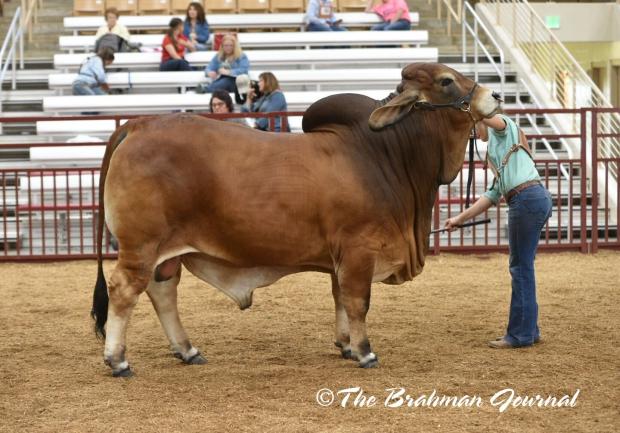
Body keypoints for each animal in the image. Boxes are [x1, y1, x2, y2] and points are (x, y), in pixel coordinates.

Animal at [92, 61, 502, 374]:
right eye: (447, 81)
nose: (496, 96)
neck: (382, 154)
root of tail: (138, 124)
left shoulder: (342, 256)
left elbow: (339, 297)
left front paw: (346, 345)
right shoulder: (359, 250)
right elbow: (357, 300)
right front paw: (365, 351)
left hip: (167, 251)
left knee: (162, 291)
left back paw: (187, 350)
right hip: (141, 245)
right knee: (125, 290)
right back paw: (118, 359)